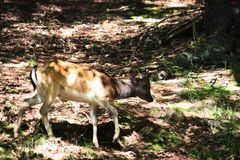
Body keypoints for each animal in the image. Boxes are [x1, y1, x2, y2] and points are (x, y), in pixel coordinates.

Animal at [14, 59, 154, 148]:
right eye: (147, 86)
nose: (152, 99)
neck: (115, 88)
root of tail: (35, 68)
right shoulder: (100, 97)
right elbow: (115, 111)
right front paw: (115, 138)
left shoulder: (92, 103)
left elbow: (94, 121)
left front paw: (96, 144)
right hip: (51, 91)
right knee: (42, 110)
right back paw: (52, 135)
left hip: (42, 91)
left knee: (25, 101)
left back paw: (16, 132)